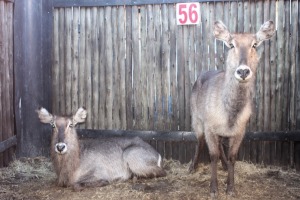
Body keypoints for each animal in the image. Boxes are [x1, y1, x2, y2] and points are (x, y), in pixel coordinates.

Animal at [37, 107, 166, 190]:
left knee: (161, 172)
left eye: (71, 124)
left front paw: (107, 181)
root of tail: (158, 154)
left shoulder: (98, 172)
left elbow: (76, 185)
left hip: (131, 155)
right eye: (52, 125)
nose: (60, 146)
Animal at [190, 20, 274, 197]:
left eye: (254, 44)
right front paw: (213, 189)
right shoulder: (209, 127)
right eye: (231, 44)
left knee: (221, 144)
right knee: (199, 140)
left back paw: (223, 165)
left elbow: (232, 156)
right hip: (196, 119)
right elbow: (213, 155)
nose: (243, 71)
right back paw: (192, 166)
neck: (230, 114)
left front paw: (230, 187)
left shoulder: (240, 130)